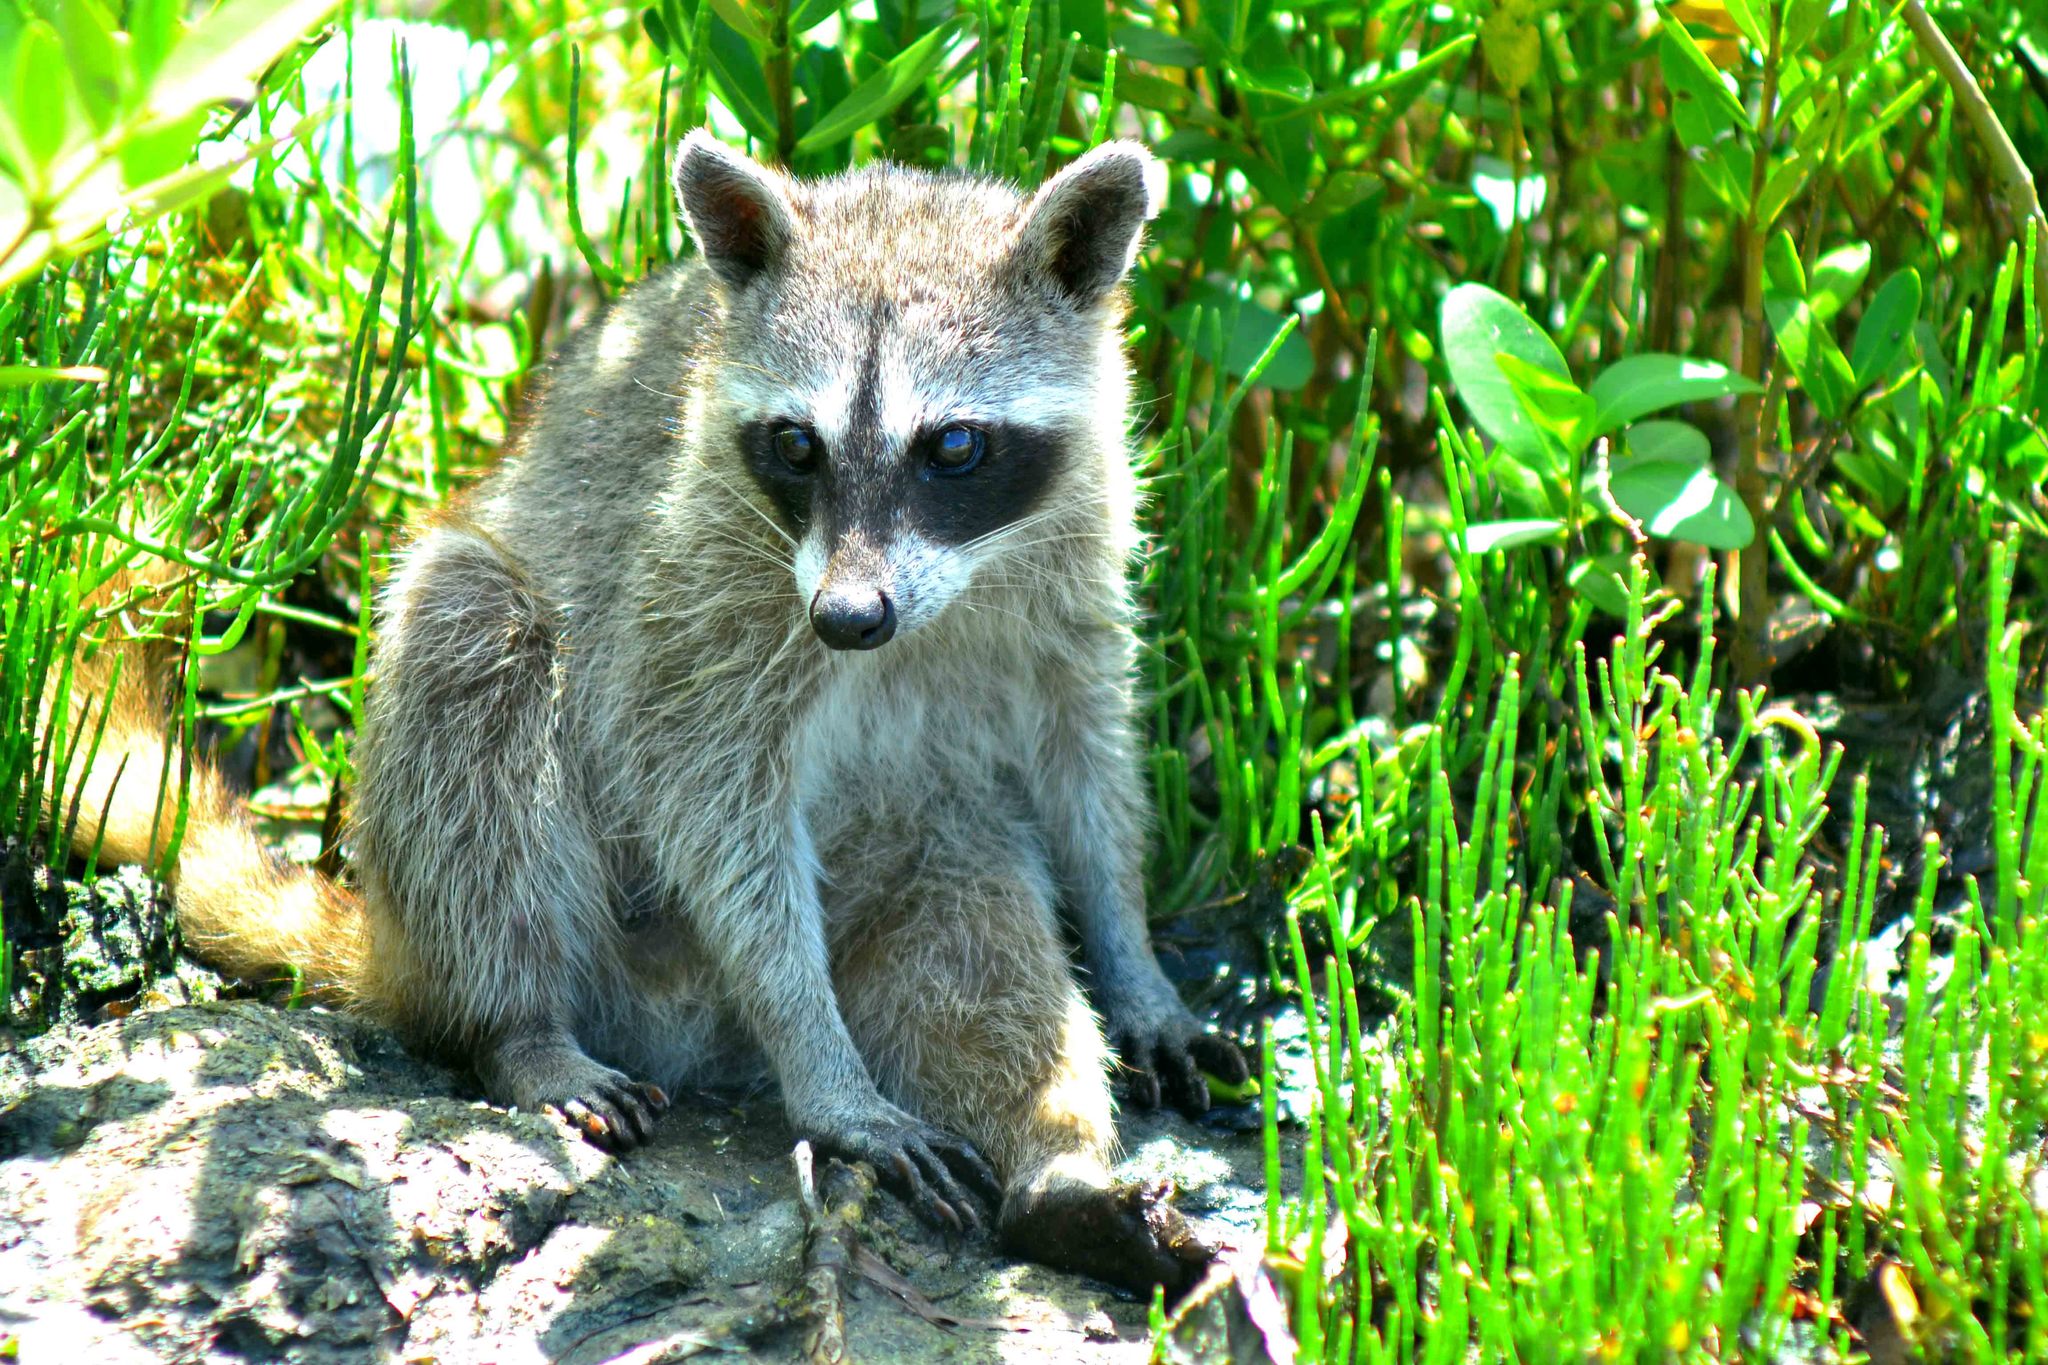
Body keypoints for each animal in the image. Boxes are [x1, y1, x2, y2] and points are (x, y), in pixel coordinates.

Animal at [59, 133, 1245, 1301]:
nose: (846, 617)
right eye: (797, 444)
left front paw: (1129, 952)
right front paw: (820, 1066)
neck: (934, 599)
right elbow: (702, 790)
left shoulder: (1078, 559)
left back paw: (1057, 1173)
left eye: (953, 445)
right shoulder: (697, 583)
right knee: (470, 656)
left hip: (912, 843)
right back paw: (529, 1023)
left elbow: (1086, 763)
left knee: (978, 933)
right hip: (573, 893)